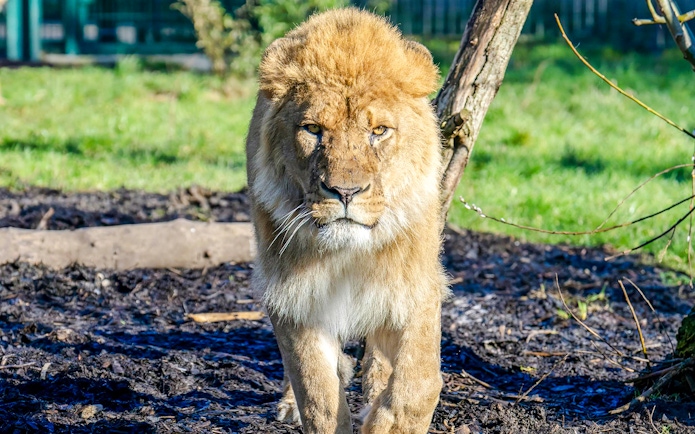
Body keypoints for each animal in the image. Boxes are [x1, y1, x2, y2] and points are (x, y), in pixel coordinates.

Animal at [245, 8, 447, 433]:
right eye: (313, 129)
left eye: (379, 131)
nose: (345, 192)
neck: (350, 252)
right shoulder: (293, 294)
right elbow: (317, 393)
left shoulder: (416, 285)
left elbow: (418, 384)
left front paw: (386, 420)